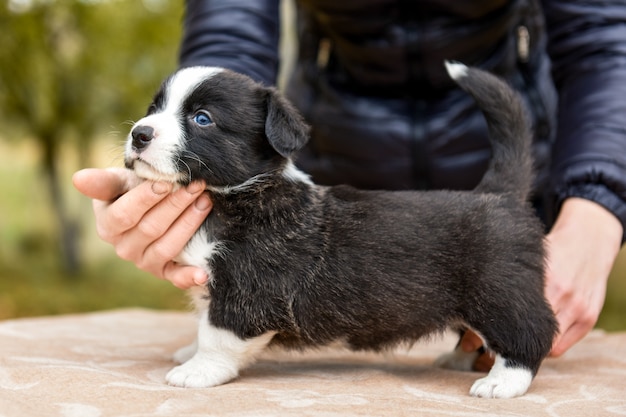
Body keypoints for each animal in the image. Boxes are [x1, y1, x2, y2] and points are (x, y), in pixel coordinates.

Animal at [124, 61, 552, 396]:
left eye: (202, 118)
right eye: (154, 108)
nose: (139, 134)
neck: (235, 194)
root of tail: (498, 194)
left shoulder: (249, 290)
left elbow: (217, 335)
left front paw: (196, 370)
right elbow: (203, 322)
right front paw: (189, 352)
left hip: (498, 292)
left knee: (533, 331)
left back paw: (503, 381)